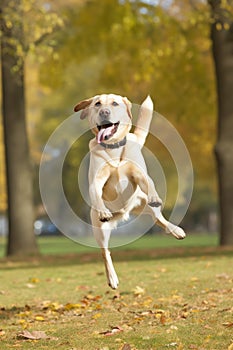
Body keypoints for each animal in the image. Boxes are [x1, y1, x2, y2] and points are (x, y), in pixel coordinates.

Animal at [74, 94, 186, 288]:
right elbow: (95, 191)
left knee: (160, 219)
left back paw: (176, 230)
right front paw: (103, 210)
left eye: (114, 103)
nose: (104, 112)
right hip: (99, 229)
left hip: (145, 205)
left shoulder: (139, 173)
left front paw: (154, 195)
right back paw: (112, 278)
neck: (113, 147)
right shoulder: (96, 180)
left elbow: (148, 182)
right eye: (97, 104)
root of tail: (124, 213)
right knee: (105, 252)